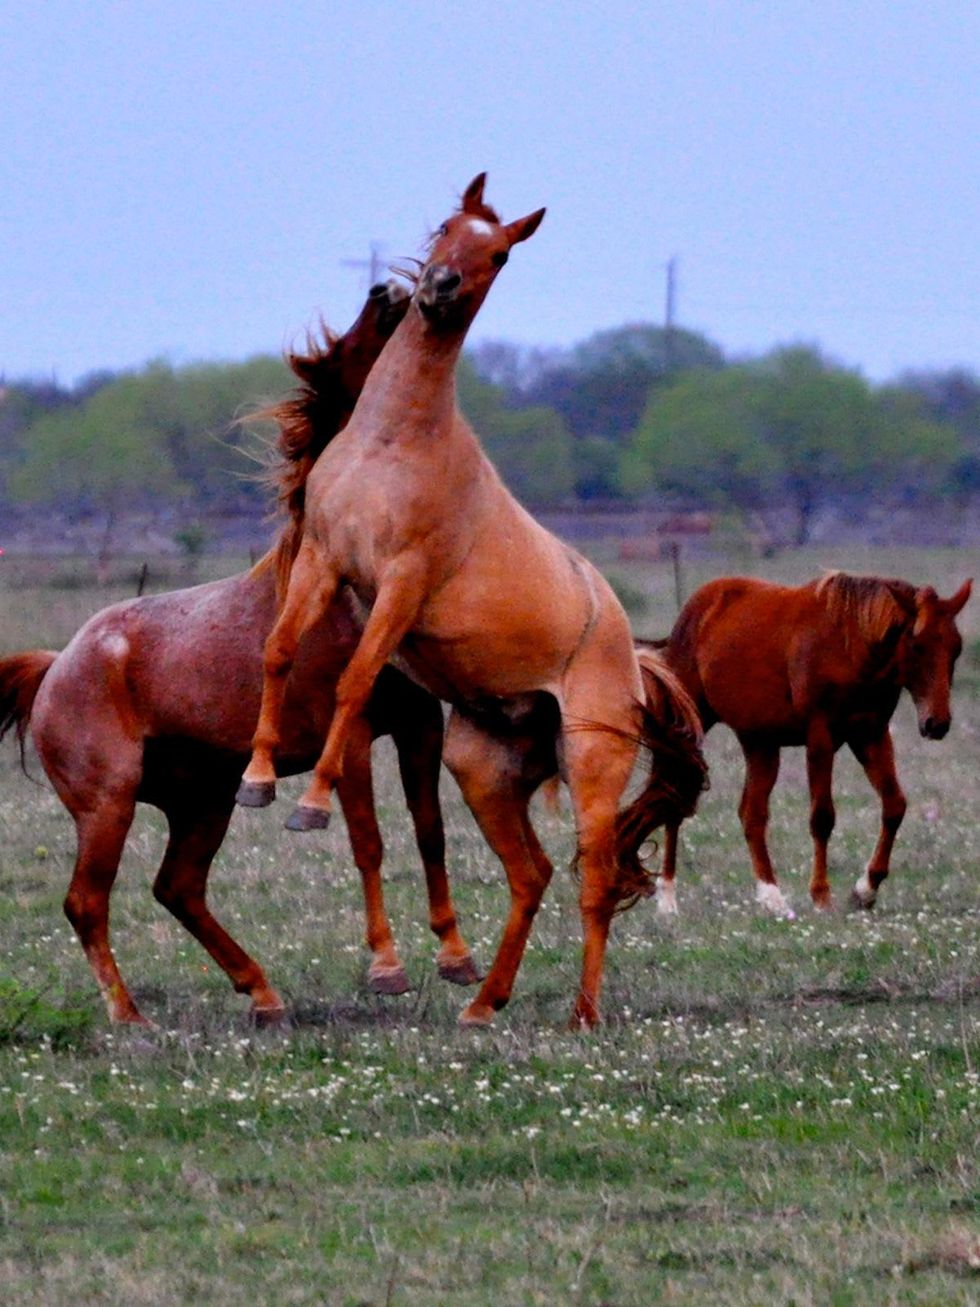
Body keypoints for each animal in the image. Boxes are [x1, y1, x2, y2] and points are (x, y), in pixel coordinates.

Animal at [0, 282, 479, 1026]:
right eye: (351, 346)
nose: (388, 291)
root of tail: (55, 667)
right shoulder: (355, 736)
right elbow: (368, 842)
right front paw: (388, 969)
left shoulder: (419, 724)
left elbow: (430, 832)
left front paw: (457, 958)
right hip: (107, 805)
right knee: (87, 902)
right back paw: (131, 1017)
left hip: (203, 802)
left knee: (178, 888)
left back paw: (262, 992)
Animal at [237, 175, 707, 1027]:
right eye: (447, 226)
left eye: (500, 252)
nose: (437, 287)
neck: (395, 442)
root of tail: (631, 654)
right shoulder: (325, 559)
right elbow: (279, 650)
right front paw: (257, 780)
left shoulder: (401, 583)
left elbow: (354, 682)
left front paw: (310, 802)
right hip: (483, 772)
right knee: (534, 874)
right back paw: (485, 1001)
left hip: (591, 765)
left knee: (593, 881)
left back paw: (582, 1013)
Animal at [645, 571, 971, 916]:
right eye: (917, 645)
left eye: (956, 648)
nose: (937, 723)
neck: (851, 647)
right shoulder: (820, 737)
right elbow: (822, 817)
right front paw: (821, 895)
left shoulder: (871, 735)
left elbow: (895, 805)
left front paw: (865, 890)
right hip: (687, 726)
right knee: (674, 797)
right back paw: (667, 898)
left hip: (760, 742)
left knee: (751, 813)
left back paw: (772, 897)